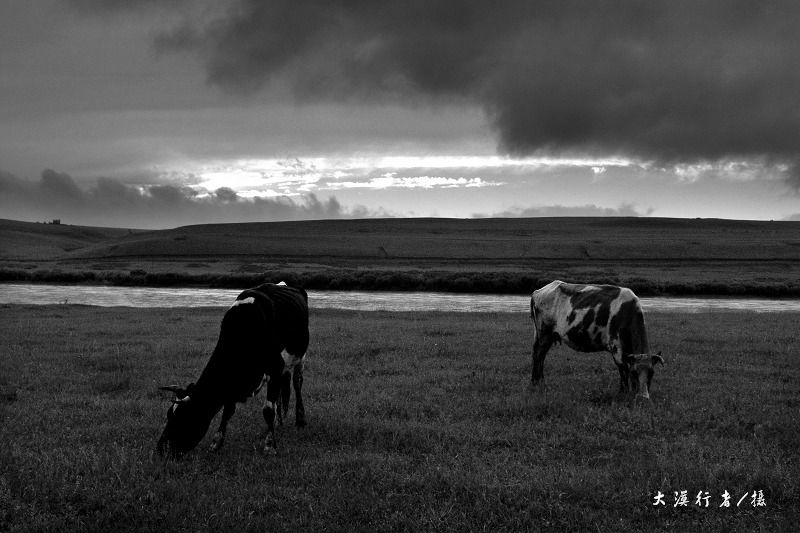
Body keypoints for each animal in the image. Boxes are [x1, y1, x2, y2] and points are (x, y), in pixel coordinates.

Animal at [157, 278, 310, 458]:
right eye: (169, 414)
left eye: (183, 417)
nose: (161, 448)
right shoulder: (233, 381)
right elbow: (228, 410)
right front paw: (216, 443)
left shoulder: (275, 368)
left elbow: (268, 410)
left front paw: (270, 446)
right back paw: (279, 423)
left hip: (301, 356)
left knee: (297, 384)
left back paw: (300, 420)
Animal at [532, 278, 664, 400]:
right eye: (634, 372)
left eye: (652, 372)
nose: (643, 397)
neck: (627, 312)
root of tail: (541, 289)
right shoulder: (616, 346)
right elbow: (623, 369)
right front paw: (624, 393)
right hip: (543, 333)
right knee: (538, 355)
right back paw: (537, 382)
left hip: (545, 335)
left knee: (540, 355)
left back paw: (538, 381)